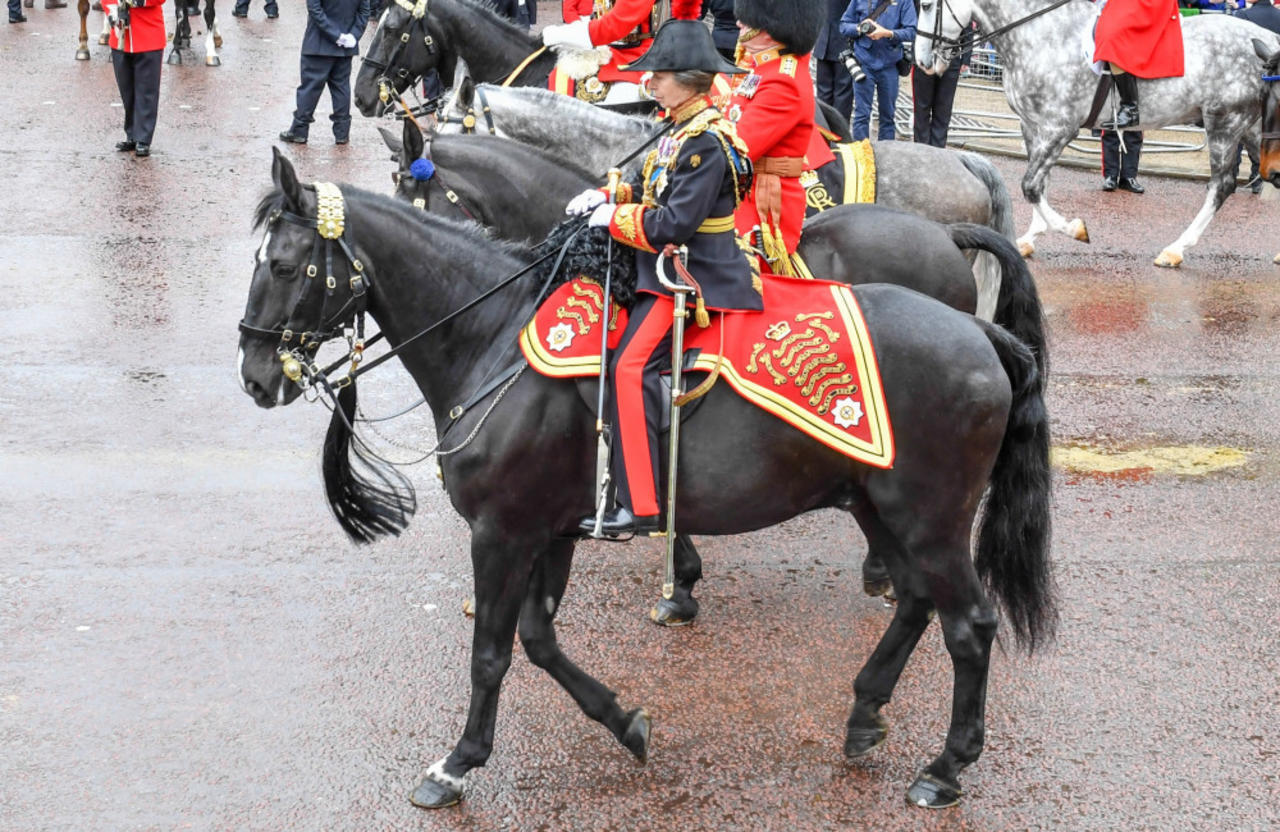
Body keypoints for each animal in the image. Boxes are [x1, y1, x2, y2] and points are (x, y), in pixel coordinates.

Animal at [235, 147, 1054, 803]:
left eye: (283, 266)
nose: (253, 377)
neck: (492, 335)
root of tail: (979, 330)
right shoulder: (551, 528)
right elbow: (538, 638)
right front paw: (625, 721)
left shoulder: (503, 531)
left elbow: (492, 653)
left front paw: (458, 763)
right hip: (876, 502)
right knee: (915, 599)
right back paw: (864, 714)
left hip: (931, 516)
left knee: (970, 625)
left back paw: (944, 768)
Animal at [921, 0, 1280, 263]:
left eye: (925, 5)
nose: (922, 60)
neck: (1042, 35)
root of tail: (1269, 38)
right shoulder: (1033, 126)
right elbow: (1039, 185)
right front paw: (1031, 237)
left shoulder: (1059, 127)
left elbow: (1031, 186)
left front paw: (1074, 229)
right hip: (1254, 129)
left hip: (1225, 123)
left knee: (1221, 186)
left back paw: (1175, 249)